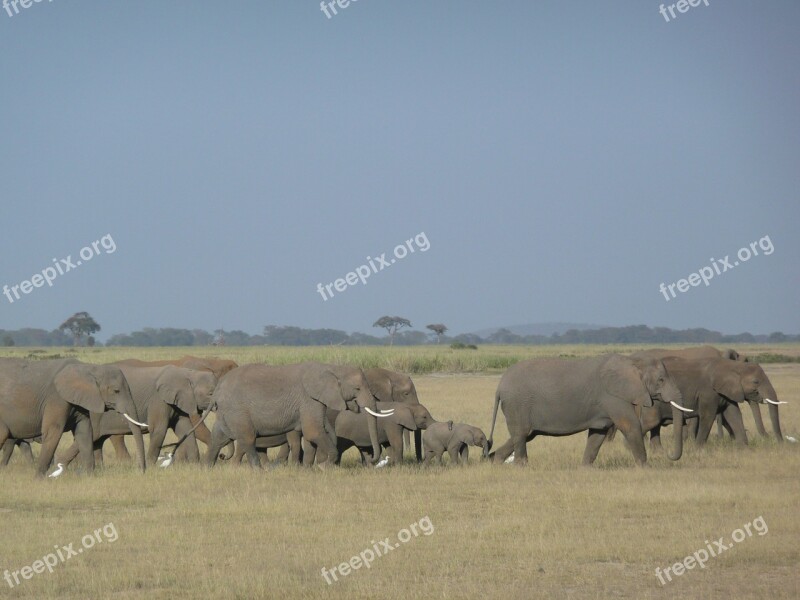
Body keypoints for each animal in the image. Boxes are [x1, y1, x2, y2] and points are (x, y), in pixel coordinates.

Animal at [0, 358, 146, 476]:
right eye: (116, 391)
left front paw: (90, 477)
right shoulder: (56, 398)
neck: (88, 368)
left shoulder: (81, 400)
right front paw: (39, 479)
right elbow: (53, 432)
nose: (141, 471)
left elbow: (84, 432)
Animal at [55, 366, 219, 468]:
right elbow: (159, 430)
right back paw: (59, 465)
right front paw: (151, 467)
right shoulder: (158, 400)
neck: (188, 373)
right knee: (93, 437)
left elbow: (184, 428)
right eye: (211, 393)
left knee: (97, 442)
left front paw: (195, 466)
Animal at [206, 360, 394, 468]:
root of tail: (218, 389)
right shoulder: (308, 398)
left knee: (218, 437)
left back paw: (207, 467)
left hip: (227, 412)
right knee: (247, 438)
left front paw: (311, 468)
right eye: (357, 388)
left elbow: (313, 432)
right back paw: (258, 470)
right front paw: (324, 466)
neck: (332, 368)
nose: (372, 460)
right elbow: (313, 431)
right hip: (237, 409)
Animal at [488, 354, 688, 466]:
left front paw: (585, 468)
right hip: (518, 404)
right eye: (661, 380)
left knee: (524, 435)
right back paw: (521, 466)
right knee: (522, 435)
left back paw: (494, 461)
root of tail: (499, 386)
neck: (631, 360)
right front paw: (646, 467)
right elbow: (630, 426)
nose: (668, 455)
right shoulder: (613, 396)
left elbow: (598, 434)